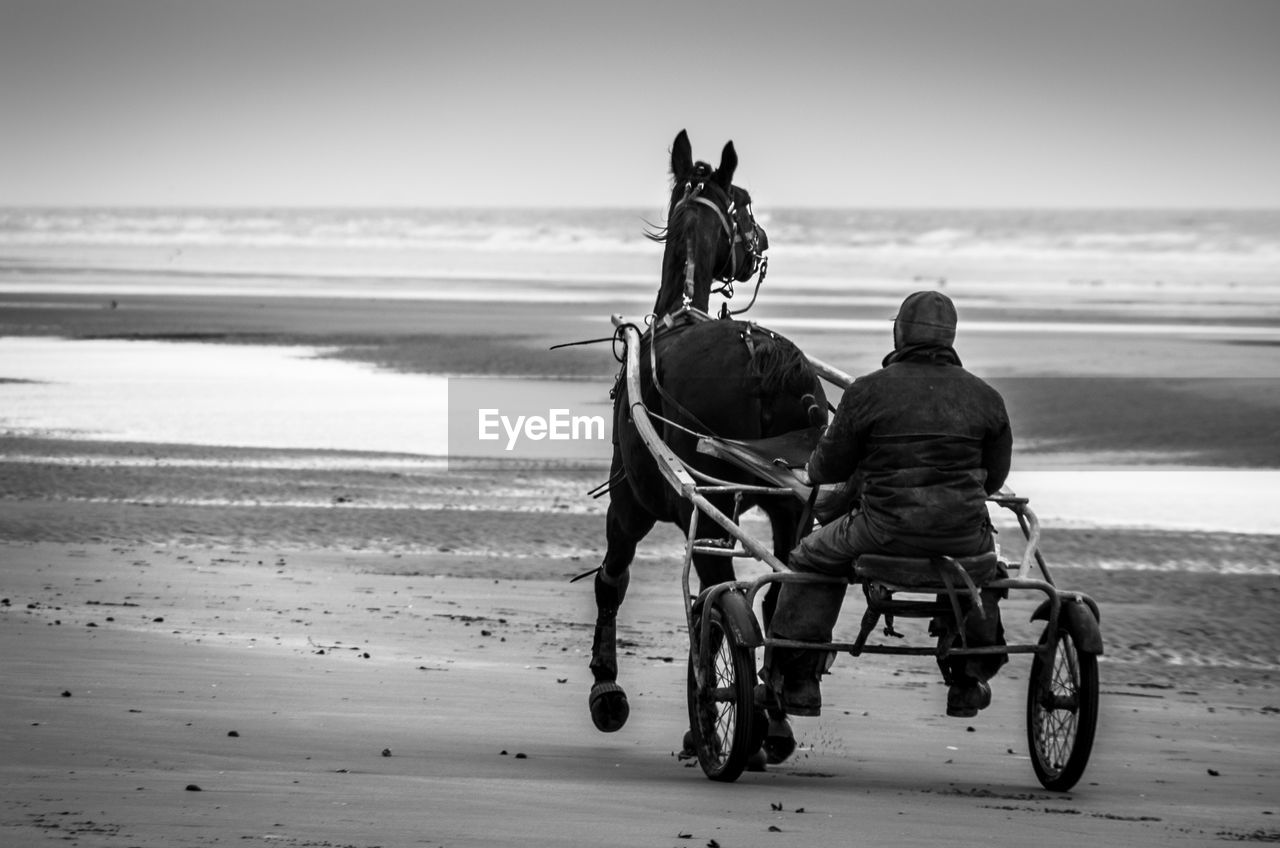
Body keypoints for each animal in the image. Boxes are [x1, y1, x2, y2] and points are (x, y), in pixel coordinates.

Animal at [588, 133, 829, 763]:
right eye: (744, 203)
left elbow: (611, 581)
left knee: (717, 597)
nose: (763, 241)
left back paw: (719, 721)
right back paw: (776, 713)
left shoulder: (630, 501)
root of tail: (759, 353)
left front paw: (606, 688)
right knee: (777, 594)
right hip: (792, 503)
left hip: (710, 508)